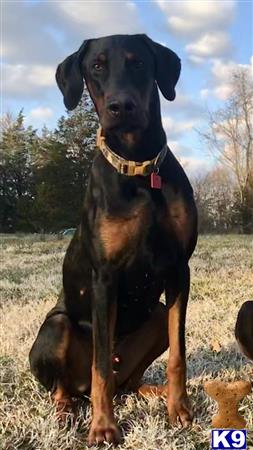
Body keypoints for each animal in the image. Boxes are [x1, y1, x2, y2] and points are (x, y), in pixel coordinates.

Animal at [29, 33, 198, 444]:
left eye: (138, 62)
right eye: (97, 66)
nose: (122, 107)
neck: (139, 170)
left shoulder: (179, 270)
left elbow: (179, 353)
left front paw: (179, 409)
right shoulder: (105, 276)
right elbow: (100, 365)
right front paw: (104, 427)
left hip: (155, 317)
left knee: (128, 380)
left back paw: (153, 391)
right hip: (57, 327)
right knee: (70, 385)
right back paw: (66, 412)